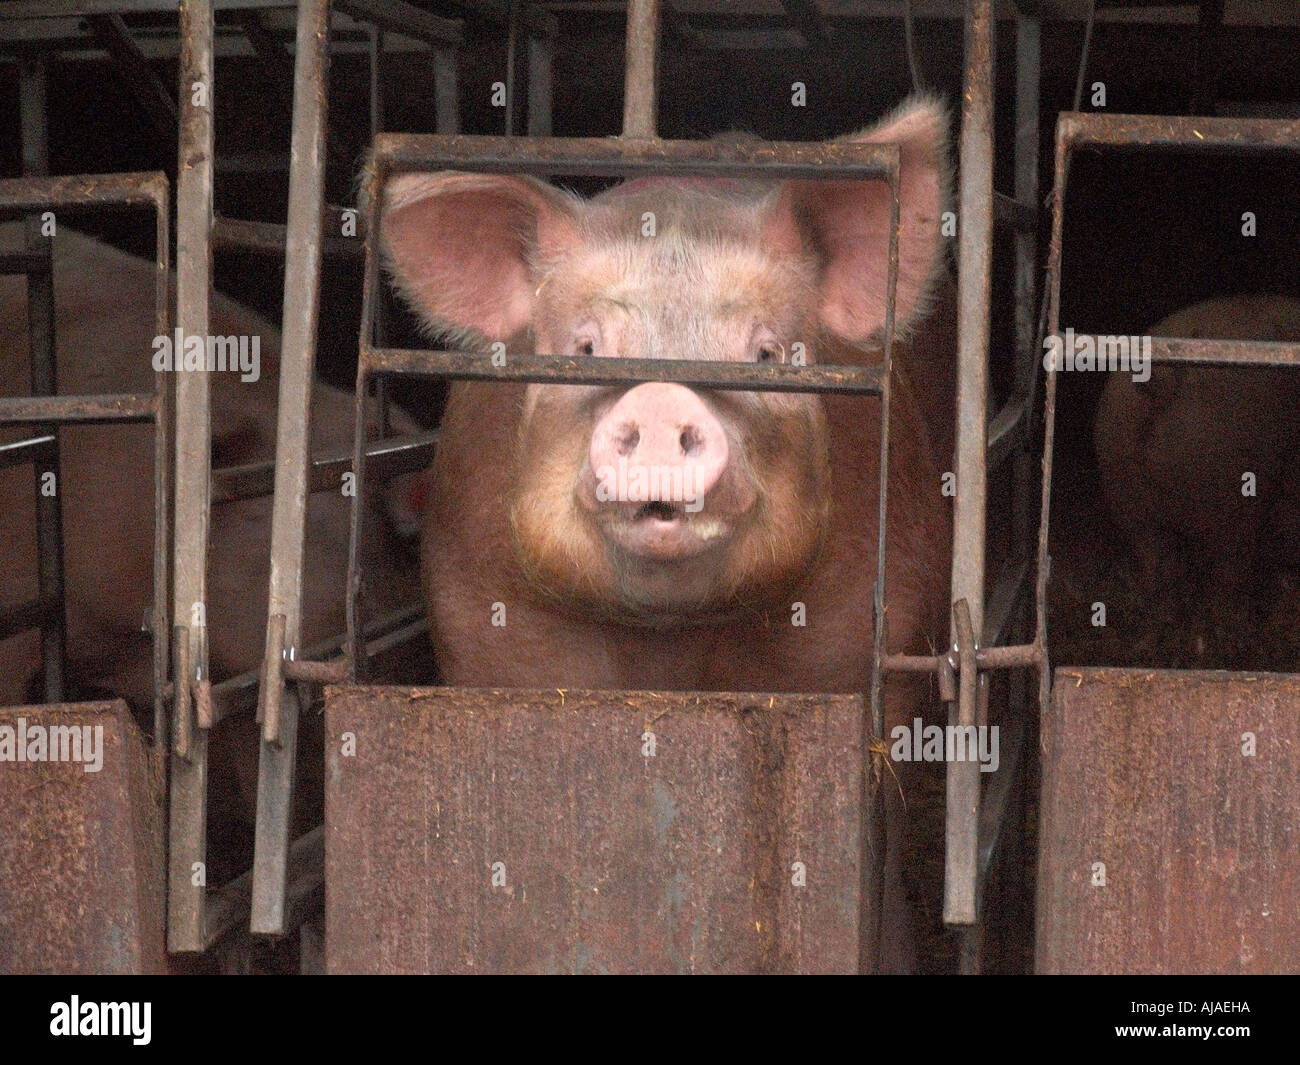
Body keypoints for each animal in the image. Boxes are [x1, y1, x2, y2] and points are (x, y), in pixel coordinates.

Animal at [378, 96, 955, 971]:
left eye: (767, 353)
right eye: (585, 348)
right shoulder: (485, 616)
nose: (657, 397)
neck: (670, 643)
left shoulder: (862, 633)